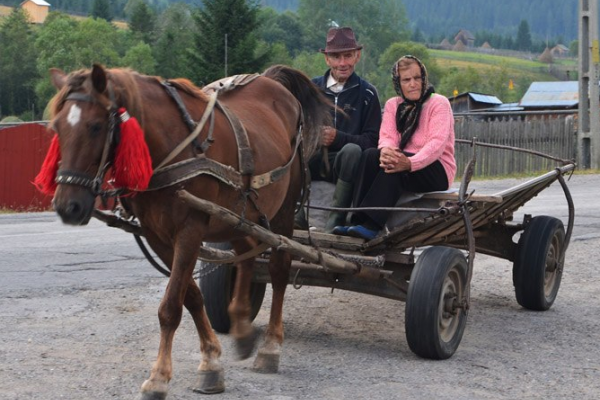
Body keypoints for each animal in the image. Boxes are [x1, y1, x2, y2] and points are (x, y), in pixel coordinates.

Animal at [38, 64, 328, 398]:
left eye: (96, 126)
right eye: (56, 128)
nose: (67, 207)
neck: (171, 144)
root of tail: (274, 82)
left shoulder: (191, 229)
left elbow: (170, 306)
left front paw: (159, 377)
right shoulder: (158, 236)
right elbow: (191, 296)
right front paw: (211, 362)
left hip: (282, 211)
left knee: (279, 270)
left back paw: (270, 347)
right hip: (237, 215)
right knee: (246, 255)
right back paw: (242, 326)